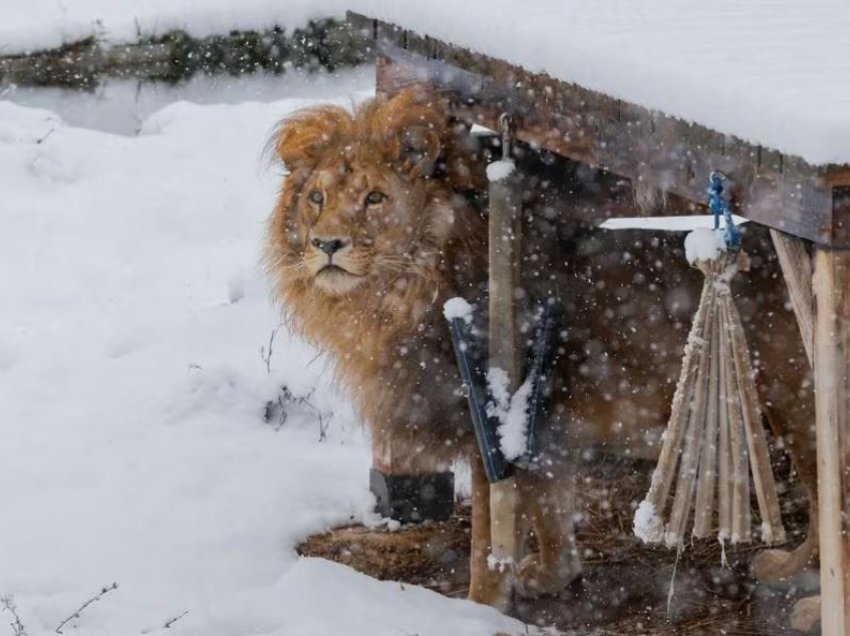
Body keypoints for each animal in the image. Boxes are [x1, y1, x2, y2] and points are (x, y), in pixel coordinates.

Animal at [264, 87, 816, 608]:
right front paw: (553, 576)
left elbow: (489, 542)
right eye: (316, 198)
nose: (326, 244)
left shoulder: (488, 428)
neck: (398, 293)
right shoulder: (546, 432)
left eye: (375, 198)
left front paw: (480, 609)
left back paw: (795, 577)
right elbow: (551, 512)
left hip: (796, 402)